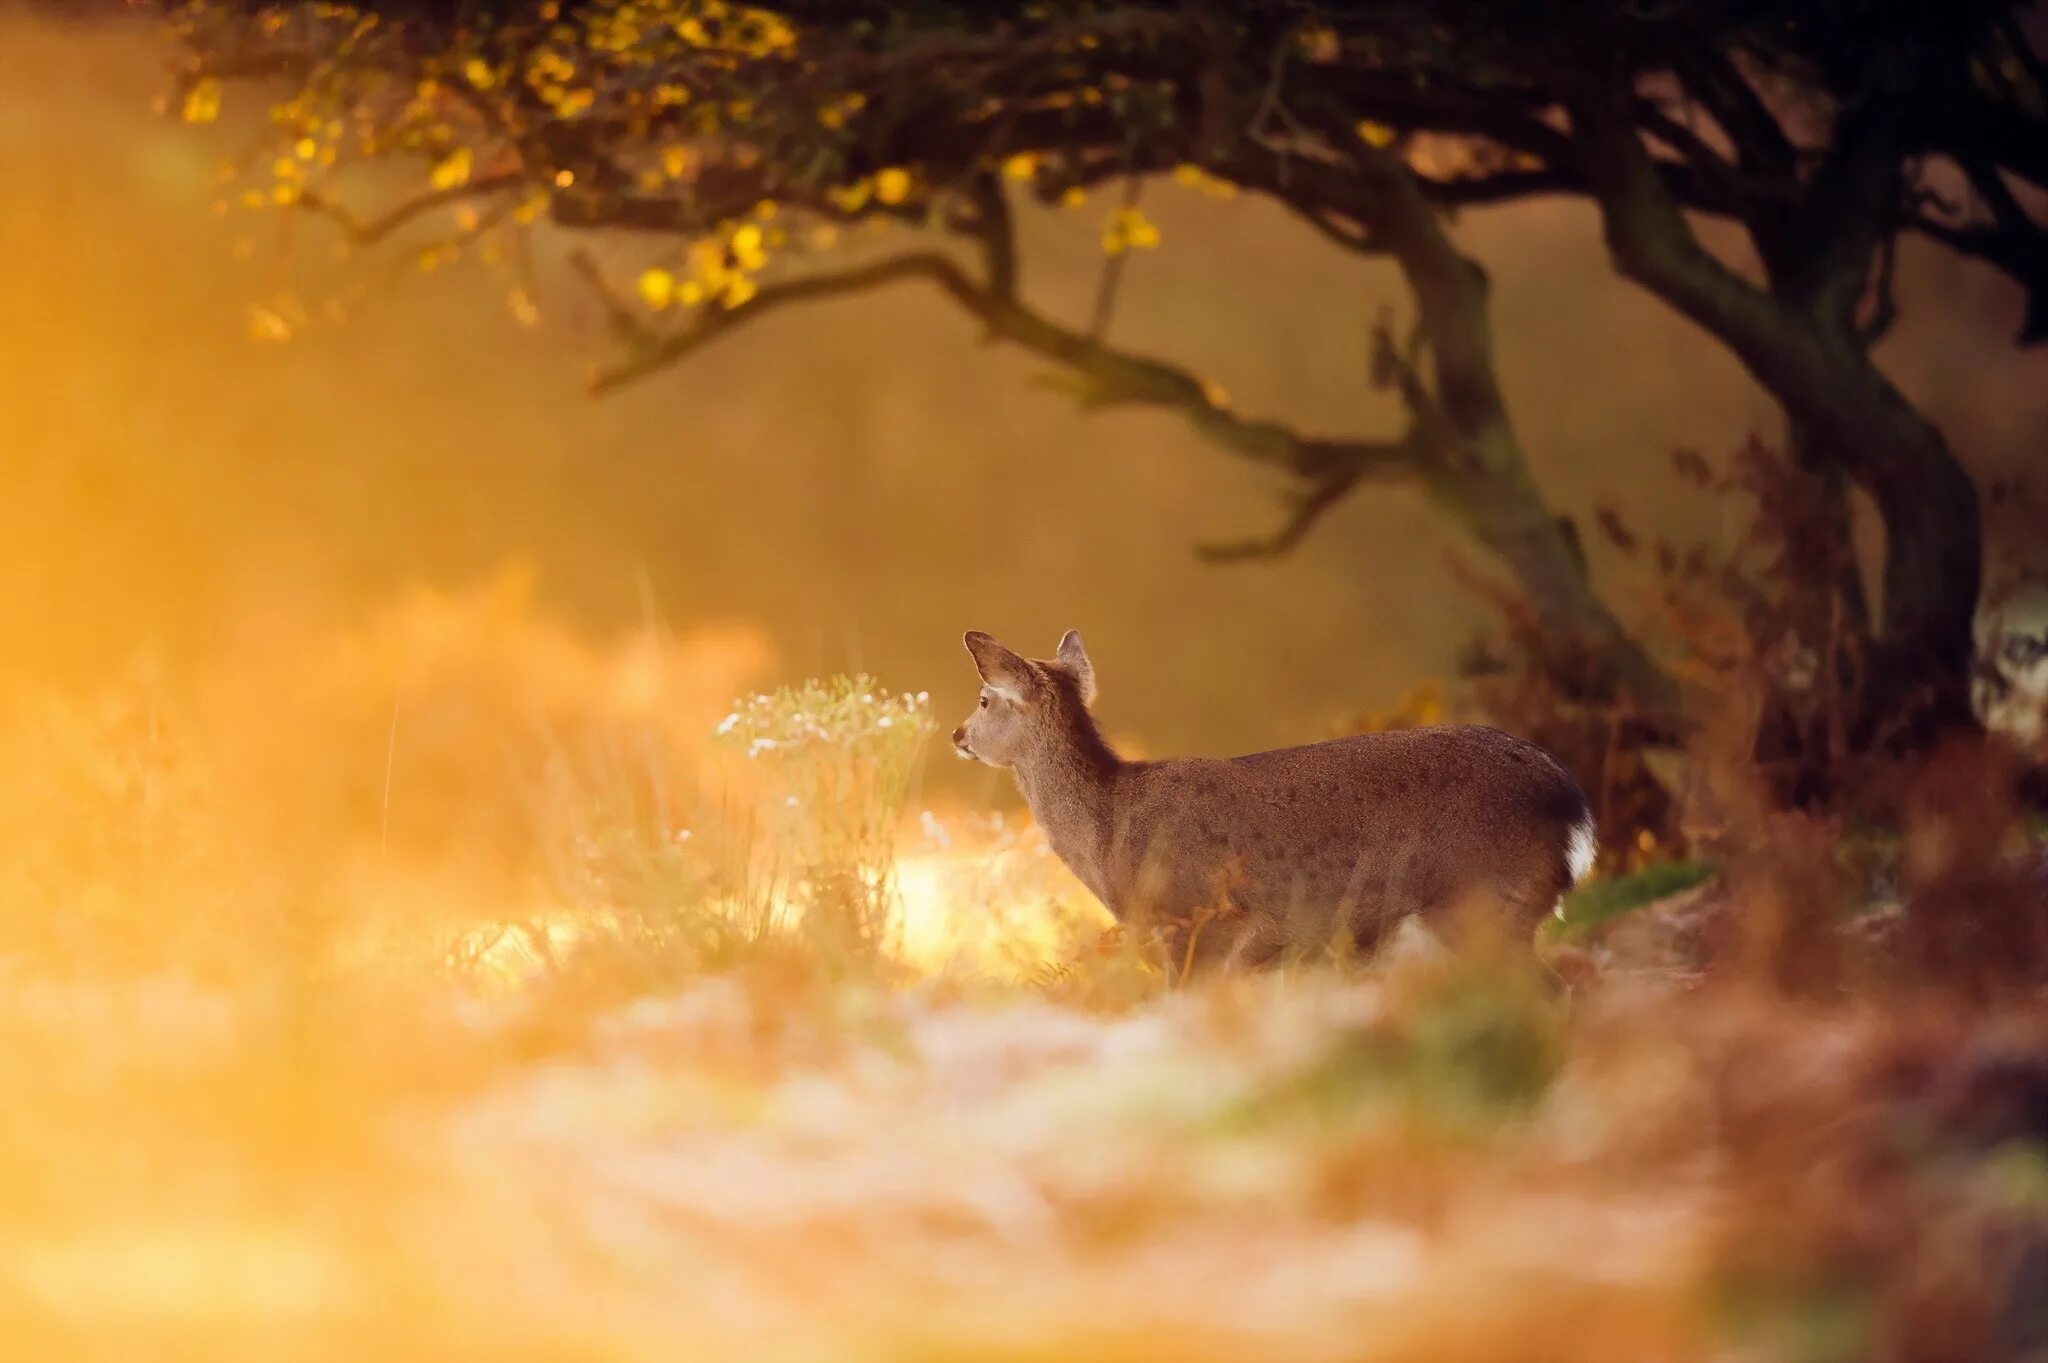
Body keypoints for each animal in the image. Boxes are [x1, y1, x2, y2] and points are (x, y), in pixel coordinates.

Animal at [946, 630, 1597, 970]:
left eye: (983, 699)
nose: (956, 736)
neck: (1109, 839)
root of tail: (1574, 807)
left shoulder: (1199, 922)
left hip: (1480, 902)